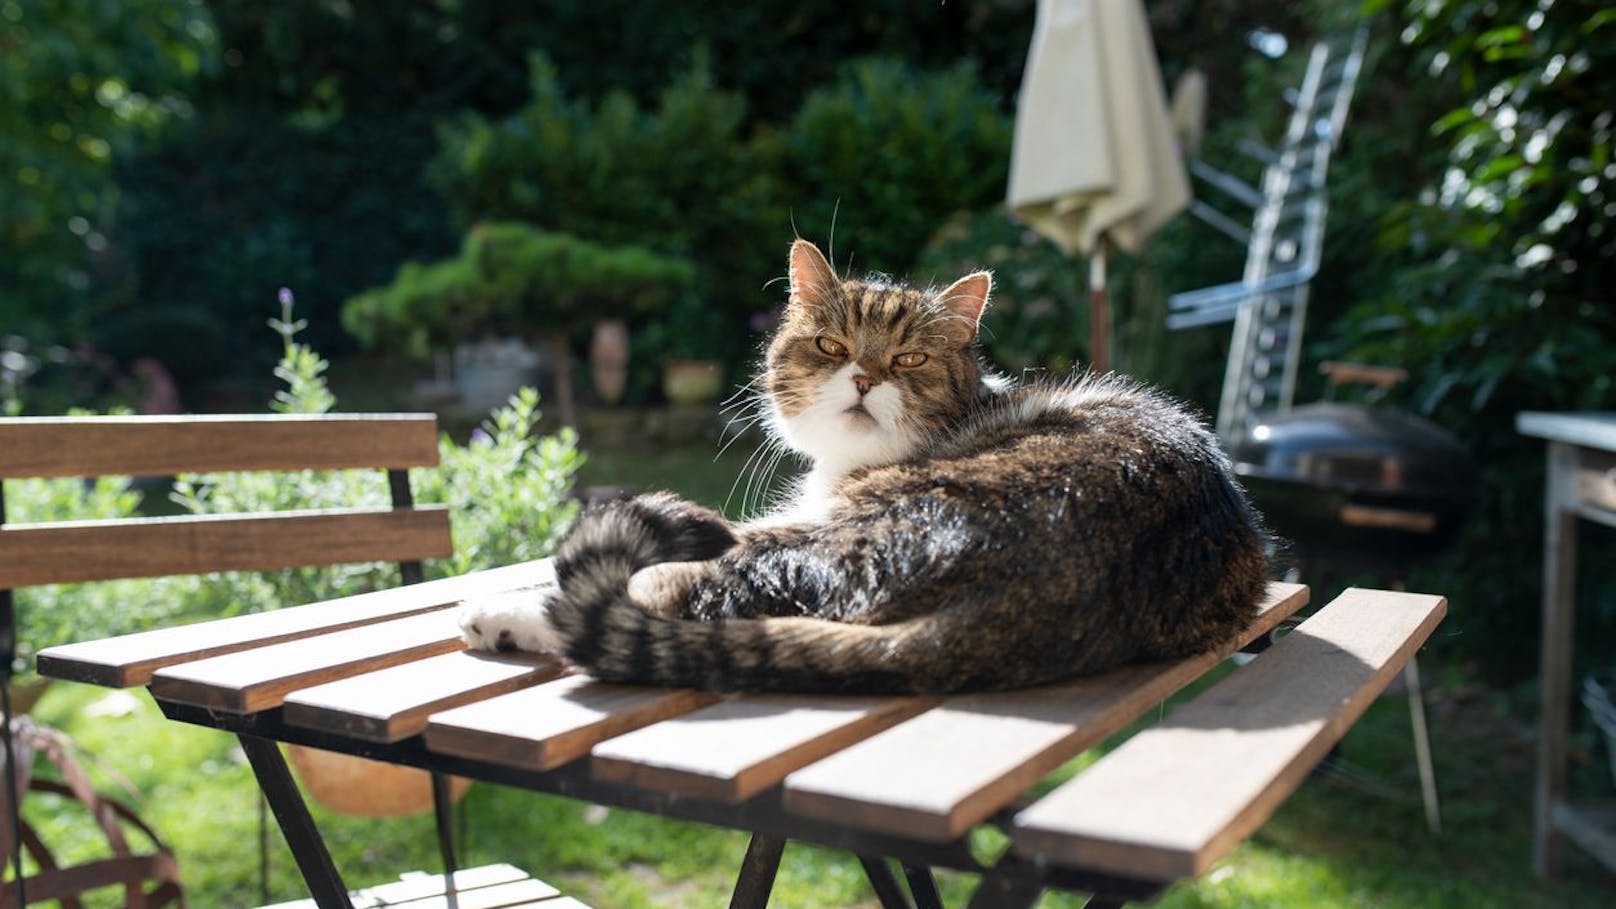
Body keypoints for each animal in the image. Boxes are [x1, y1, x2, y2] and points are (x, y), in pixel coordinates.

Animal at [462, 237, 1266, 689]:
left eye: (909, 358)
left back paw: (505, 615)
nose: (866, 376)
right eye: (831, 345)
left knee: (677, 591)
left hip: (837, 534)